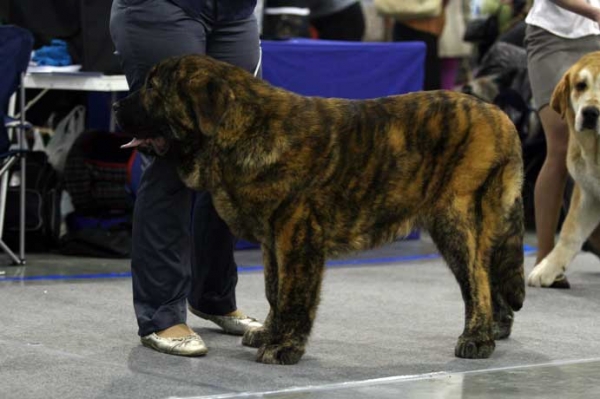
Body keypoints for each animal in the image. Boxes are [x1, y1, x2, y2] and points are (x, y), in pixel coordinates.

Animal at [112, 54, 524, 368]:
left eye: (154, 88)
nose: (115, 105)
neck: (244, 128)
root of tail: (499, 115)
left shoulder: (297, 234)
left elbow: (294, 293)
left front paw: (284, 346)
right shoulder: (272, 240)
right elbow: (274, 289)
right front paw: (269, 332)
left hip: (454, 218)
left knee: (477, 279)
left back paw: (477, 339)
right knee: (487, 271)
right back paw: (496, 329)